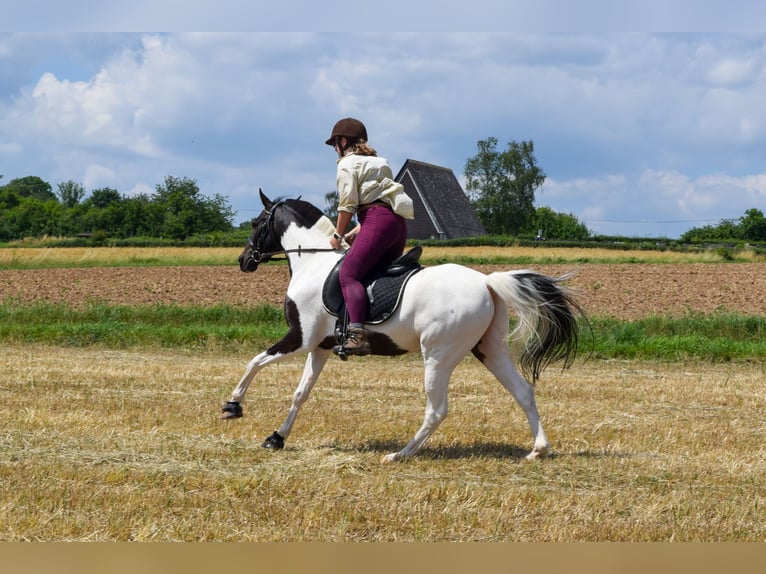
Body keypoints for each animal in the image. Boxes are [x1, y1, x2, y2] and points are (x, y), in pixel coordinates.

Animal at [224, 191, 588, 466]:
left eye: (257, 223)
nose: (244, 261)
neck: (313, 264)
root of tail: (487, 282)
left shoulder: (301, 338)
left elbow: (255, 361)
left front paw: (233, 406)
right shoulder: (321, 346)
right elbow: (301, 393)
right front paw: (276, 437)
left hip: (438, 355)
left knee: (437, 409)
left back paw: (400, 454)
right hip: (489, 349)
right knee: (523, 391)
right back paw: (538, 450)